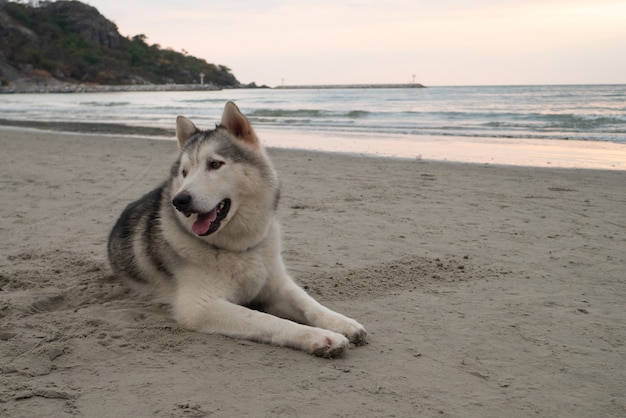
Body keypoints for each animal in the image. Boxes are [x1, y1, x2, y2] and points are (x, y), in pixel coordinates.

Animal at [107, 101, 366, 356]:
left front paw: (342, 323)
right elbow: (267, 319)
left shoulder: (278, 286)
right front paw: (321, 337)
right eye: (184, 172)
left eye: (215, 164)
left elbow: (309, 304)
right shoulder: (200, 308)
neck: (239, 247)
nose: (179, 201)